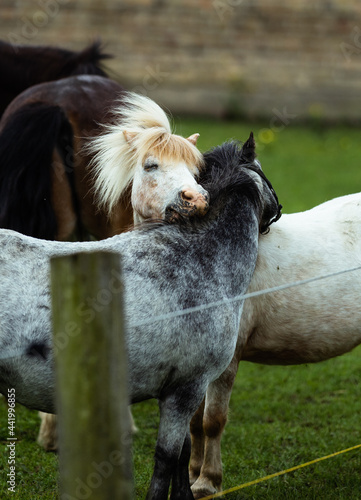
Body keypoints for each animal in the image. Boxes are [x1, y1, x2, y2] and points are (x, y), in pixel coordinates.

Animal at [0, 137, 280, 500]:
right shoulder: (187, 389)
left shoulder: (178, 391)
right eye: (263, 170)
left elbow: (183, 454)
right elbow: (167, 458)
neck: (197, 258)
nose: (279, 208)